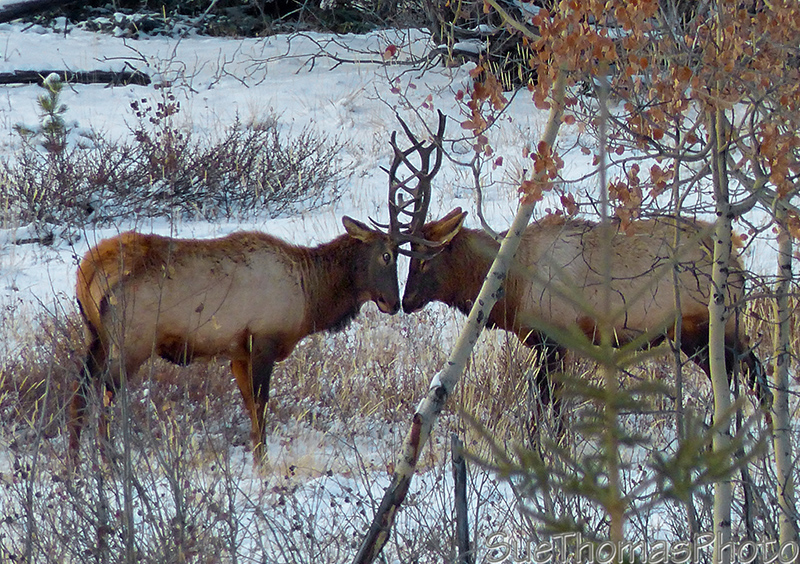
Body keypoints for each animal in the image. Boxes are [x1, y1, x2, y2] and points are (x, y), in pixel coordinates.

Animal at [400, 207, 772, 428]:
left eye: (424, 261)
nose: (406, 301)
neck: (512, 289)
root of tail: (738, 261)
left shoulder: (553, 340)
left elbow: (548, 407)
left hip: (707, 328)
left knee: (753, 375)